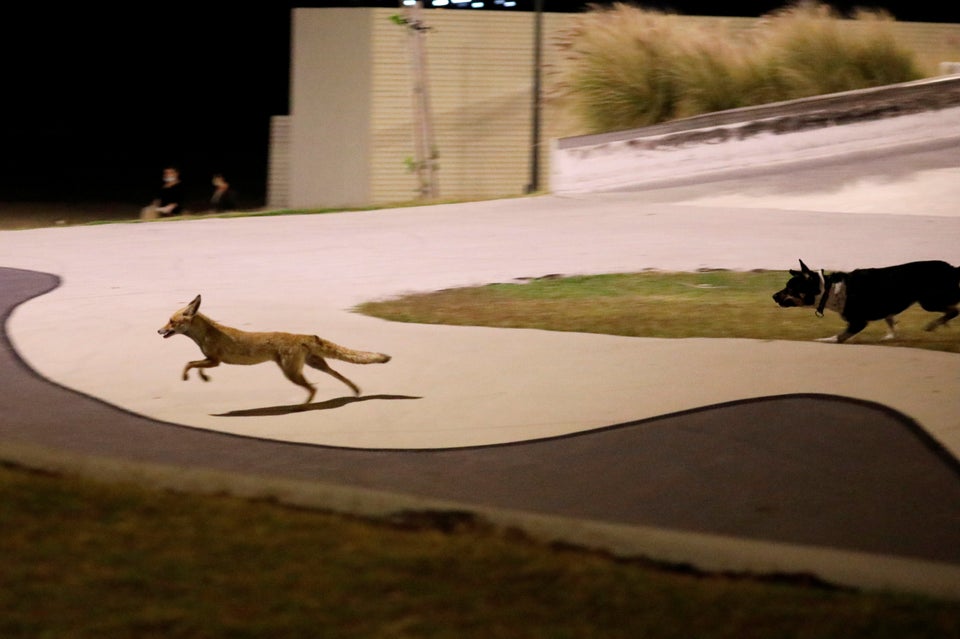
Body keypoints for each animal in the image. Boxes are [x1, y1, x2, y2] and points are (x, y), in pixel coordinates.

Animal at [159, 296, 392, 404]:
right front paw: (204, 378)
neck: (205, 334)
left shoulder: (215, 360)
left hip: (291, 372)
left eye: (171, 321)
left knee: (313, 389)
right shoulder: (212, 360)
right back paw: (355, 391)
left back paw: (303, 406)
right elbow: (196, 365)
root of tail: (302, 336)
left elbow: (189, 364)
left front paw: (187, 377)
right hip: (315, 364)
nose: (159, 330)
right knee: (337, 375)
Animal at [772, 258, 960, 342]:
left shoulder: (858, 322)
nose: (773, 296)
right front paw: (890, 337)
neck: (828, 289)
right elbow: (891, 323)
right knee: (952, 310)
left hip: (929, 301)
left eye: (790, 289)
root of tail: (953, 268)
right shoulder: (886, 310)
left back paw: (933, 325)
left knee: (954, 310)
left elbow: (839, 337)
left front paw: (824, 340)